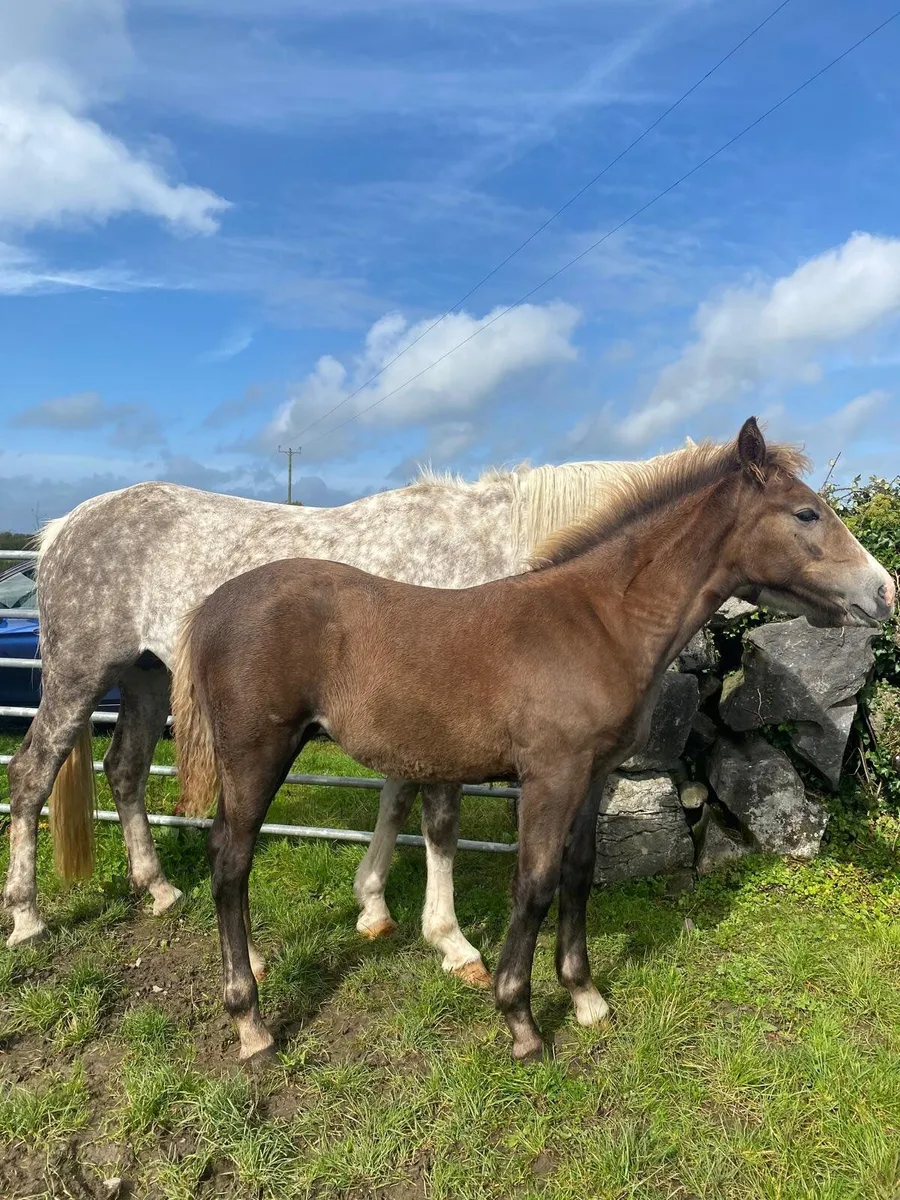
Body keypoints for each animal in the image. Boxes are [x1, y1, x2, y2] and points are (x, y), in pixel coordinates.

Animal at [4, 448, 686, 978]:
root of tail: (65, 526)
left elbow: (396, 801)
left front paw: (374, 906)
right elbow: (439, 825)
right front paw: (453, 942)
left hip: (145, 679)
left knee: (125, 769)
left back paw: (159, 888)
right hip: (80, 676)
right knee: (33, 773)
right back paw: (27, 916)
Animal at [172, 418, 895, 1064]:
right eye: (806, 513)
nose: (885, 590)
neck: (602, 620)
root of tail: (209, 607)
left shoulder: (593, 775)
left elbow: (577, 873)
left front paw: (585, 996)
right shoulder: (551, 774)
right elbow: (537, 882)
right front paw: (520, 1020)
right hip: (258, 753)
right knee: (231, 860)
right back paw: (252, 1025)